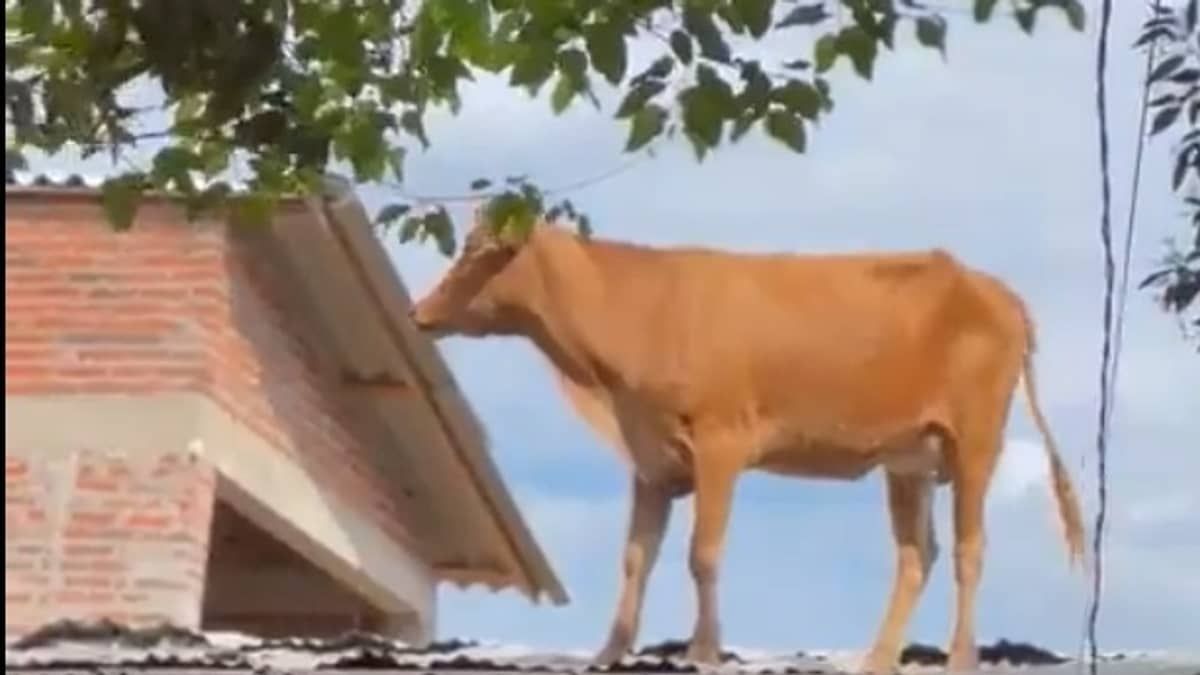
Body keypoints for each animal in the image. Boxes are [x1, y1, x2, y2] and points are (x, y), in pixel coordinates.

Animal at [408, 216, 1085, 674]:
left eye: (479, 250)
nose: (419, 314)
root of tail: (994, 289)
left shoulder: (721, 442)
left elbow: (703, 554)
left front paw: (704, 649)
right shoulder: (652, 461)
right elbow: (636, 557)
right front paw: (610, 649)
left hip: (976, 441)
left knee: (971, 549)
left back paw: (961, 656)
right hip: (908, 458)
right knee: (918, 554)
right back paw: (878, 656)